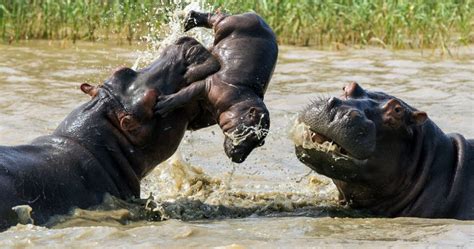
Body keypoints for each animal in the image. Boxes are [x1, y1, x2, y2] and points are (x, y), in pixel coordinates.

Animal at [154, 11, 280, 163]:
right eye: (251, 133)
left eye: (260, 142)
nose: (240, 159)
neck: (241, 100)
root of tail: (254, 14)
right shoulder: (207, 85)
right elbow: (185, 94)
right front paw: (161, 105)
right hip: (225, 24)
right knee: (215, 17)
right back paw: (190, 20)